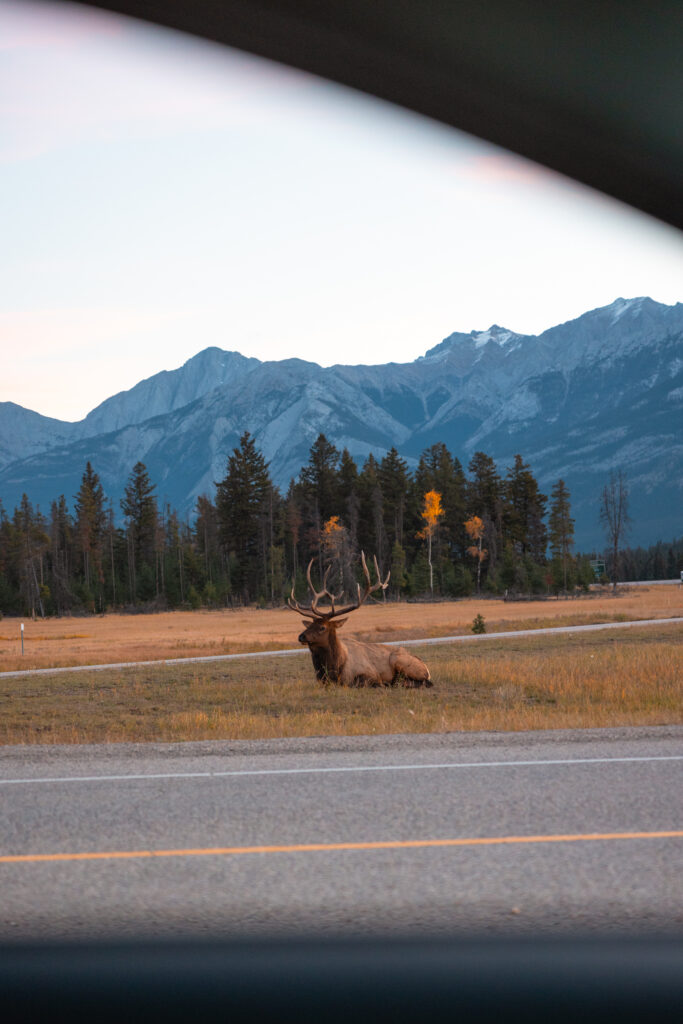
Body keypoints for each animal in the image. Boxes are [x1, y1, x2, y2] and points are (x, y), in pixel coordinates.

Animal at [288, 552, 432, 688]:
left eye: (322, 627)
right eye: (309, 625)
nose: (301, 636)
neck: (334, 668)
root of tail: (426, 668)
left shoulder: (370, 673)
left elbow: (360, 682)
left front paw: (382, 684)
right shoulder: (321, 680)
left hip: (398, 660)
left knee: (425, 682)